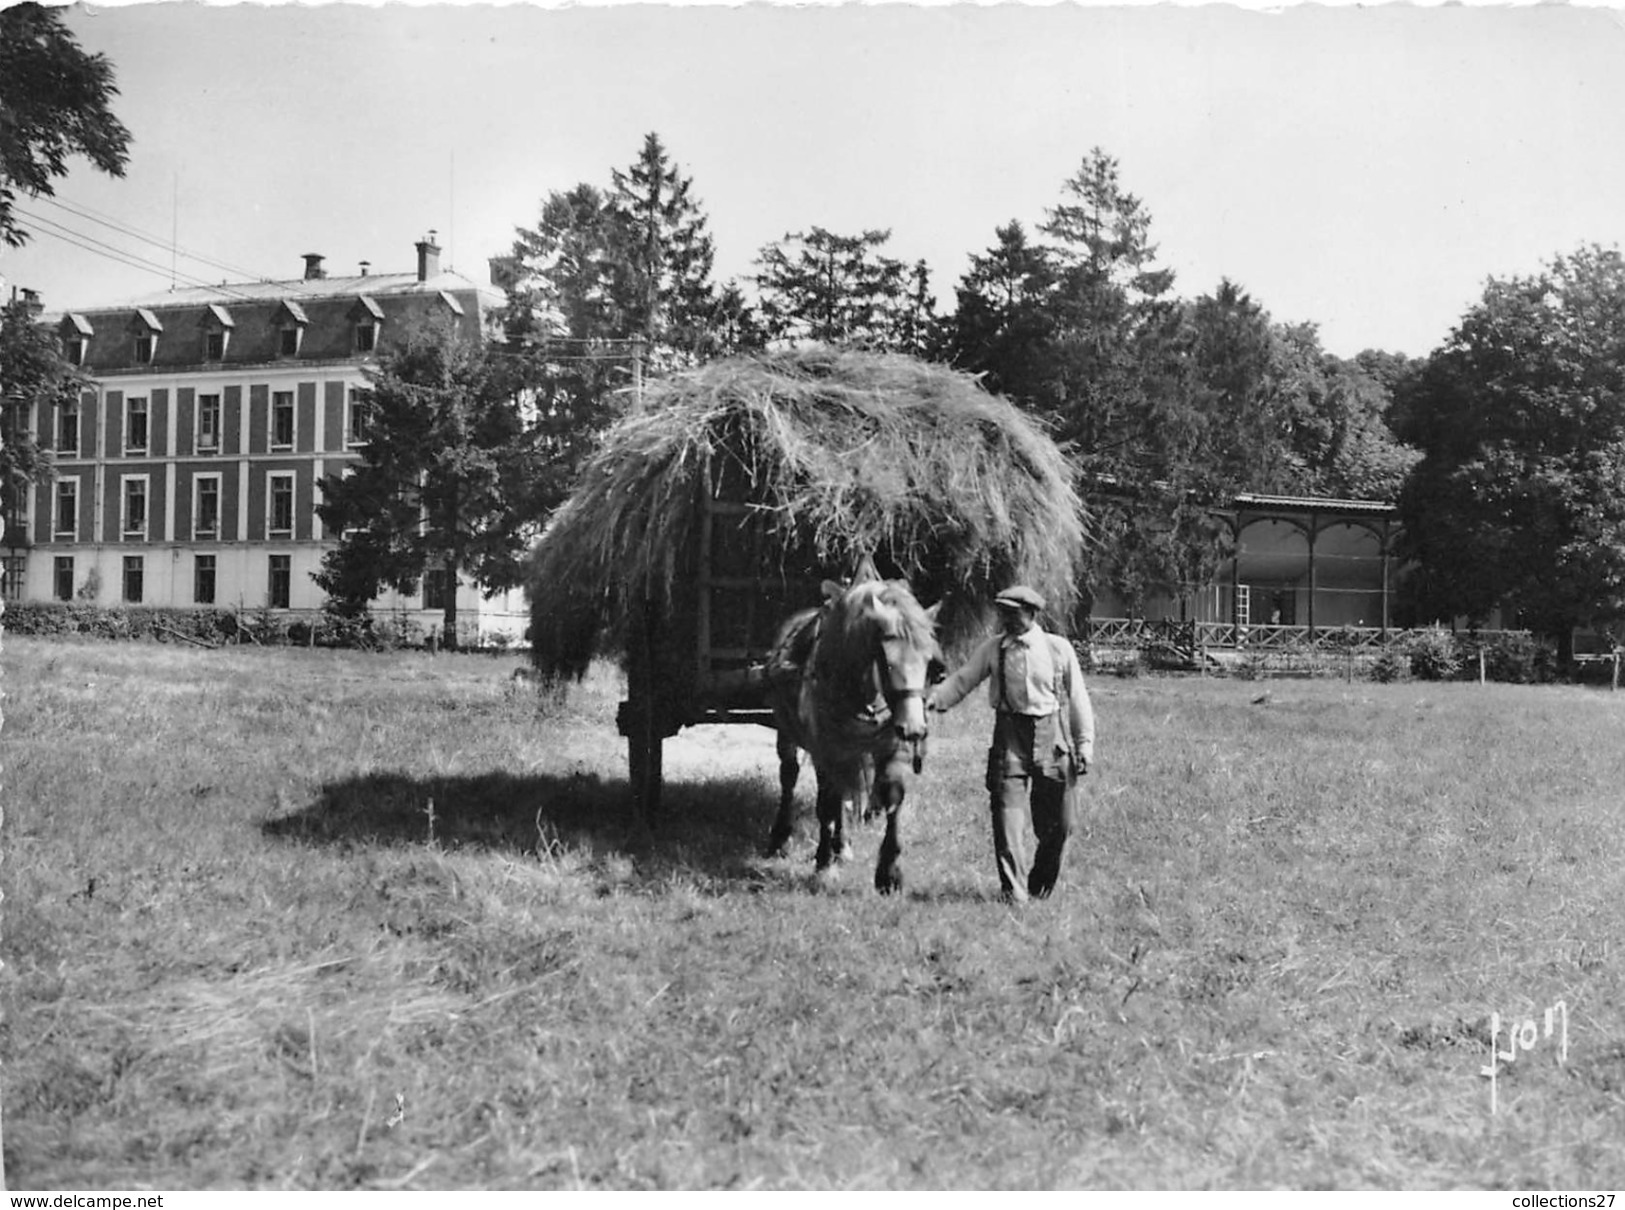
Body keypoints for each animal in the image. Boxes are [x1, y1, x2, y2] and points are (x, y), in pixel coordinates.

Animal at [767, 565, 949, 890]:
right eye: (887, 663)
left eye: (932, 666)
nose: (914, 729)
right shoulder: (825, 750)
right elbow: (826, 803)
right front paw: (823, 862)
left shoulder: (888, 745)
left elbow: (890, 796)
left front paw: (889, 871)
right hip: (787, 731)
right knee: (789, 776)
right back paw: (781, 837)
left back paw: (843, 845)